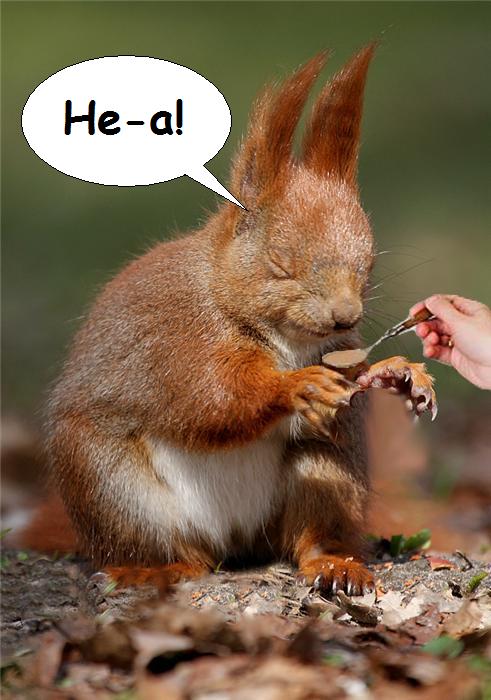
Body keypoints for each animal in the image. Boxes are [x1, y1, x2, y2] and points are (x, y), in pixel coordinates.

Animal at [19, 44, 437, 595]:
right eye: (280, 263)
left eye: (368, 264)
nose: (346, 316)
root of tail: (236, 541)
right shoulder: (179, 338)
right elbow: (212, 399)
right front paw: (296, 386)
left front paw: (399, 372)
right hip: (112, 485)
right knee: (171, 550)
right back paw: (152, 568)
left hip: (329, 473)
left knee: (312, 530)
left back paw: (334, 563)